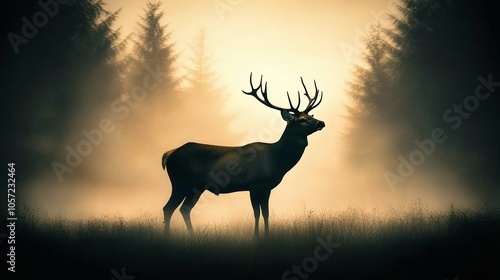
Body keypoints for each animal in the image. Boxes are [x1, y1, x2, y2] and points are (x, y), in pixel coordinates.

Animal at [160, 72, 324, 238]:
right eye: (302, 120)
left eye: (311, 115)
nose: (321, 123)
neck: (276, 160)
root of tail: (169, 153)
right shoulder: (255, 184)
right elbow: (257, 214)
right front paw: (256, 237)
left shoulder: (267, 188)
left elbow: (266, 214)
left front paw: (267, 236)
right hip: (181, 181)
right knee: (168, 208)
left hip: (197, 186)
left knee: (184, 209)